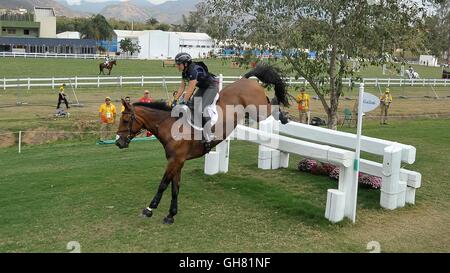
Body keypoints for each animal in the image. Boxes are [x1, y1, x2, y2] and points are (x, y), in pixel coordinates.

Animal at [115, 63, 288, 223]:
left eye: (125, 120)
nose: (118, 142)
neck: (169, 125)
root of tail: (246, 80)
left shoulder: (175, 161)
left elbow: (163, 184)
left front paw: (149, 209)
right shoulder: (178, 161)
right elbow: (175, 187)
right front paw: (171, 215)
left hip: (257, 110)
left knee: (271, 105)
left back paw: (284, 116)